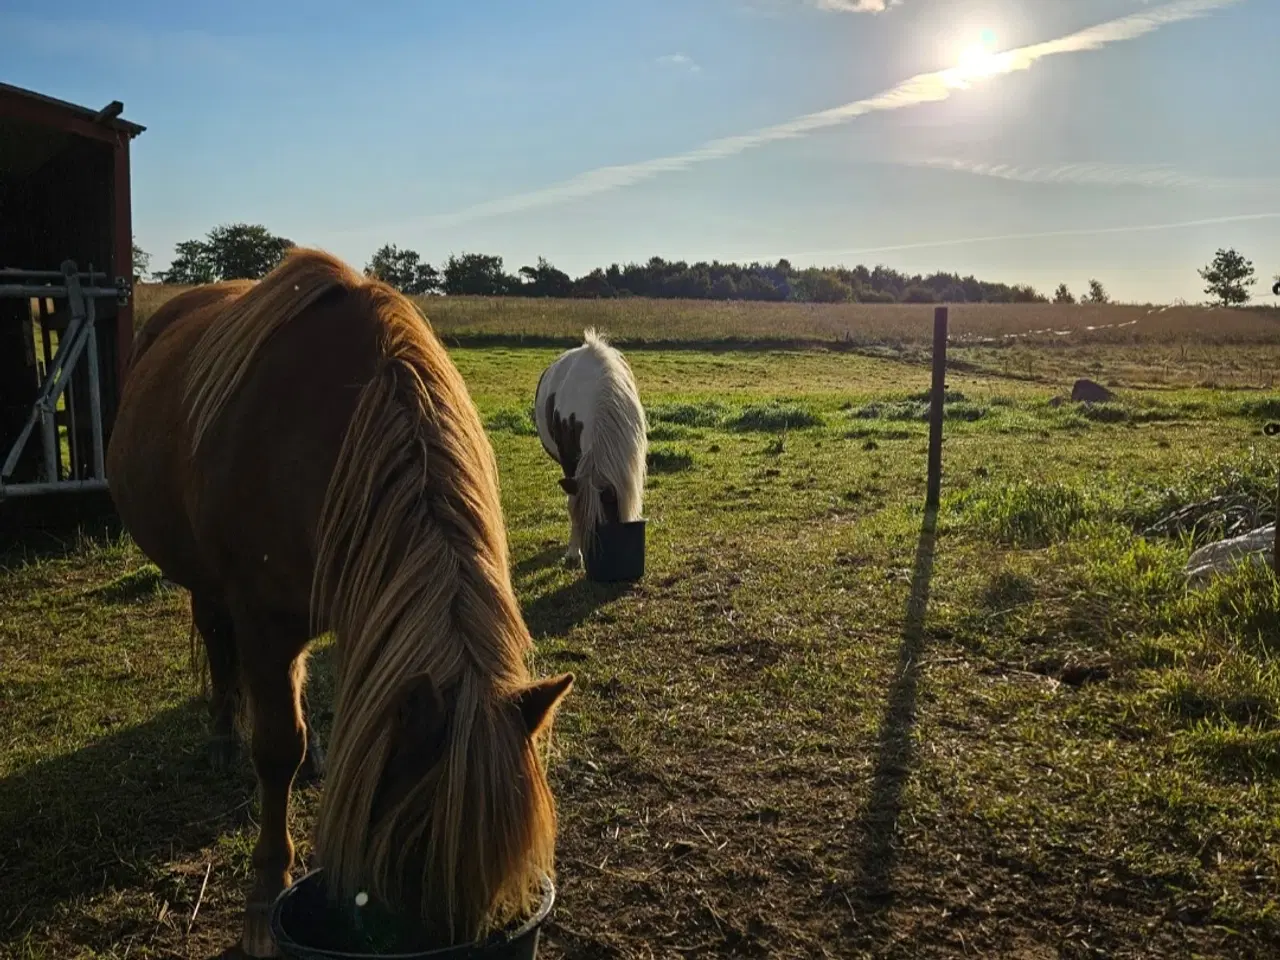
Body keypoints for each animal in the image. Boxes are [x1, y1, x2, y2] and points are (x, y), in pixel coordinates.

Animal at [104, 248, 576, 957]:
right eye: (412, 853)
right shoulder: (264, 620)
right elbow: (277, 748)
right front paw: (264, 896)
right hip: (206, 585)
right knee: (218, 645)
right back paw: (221, 737)